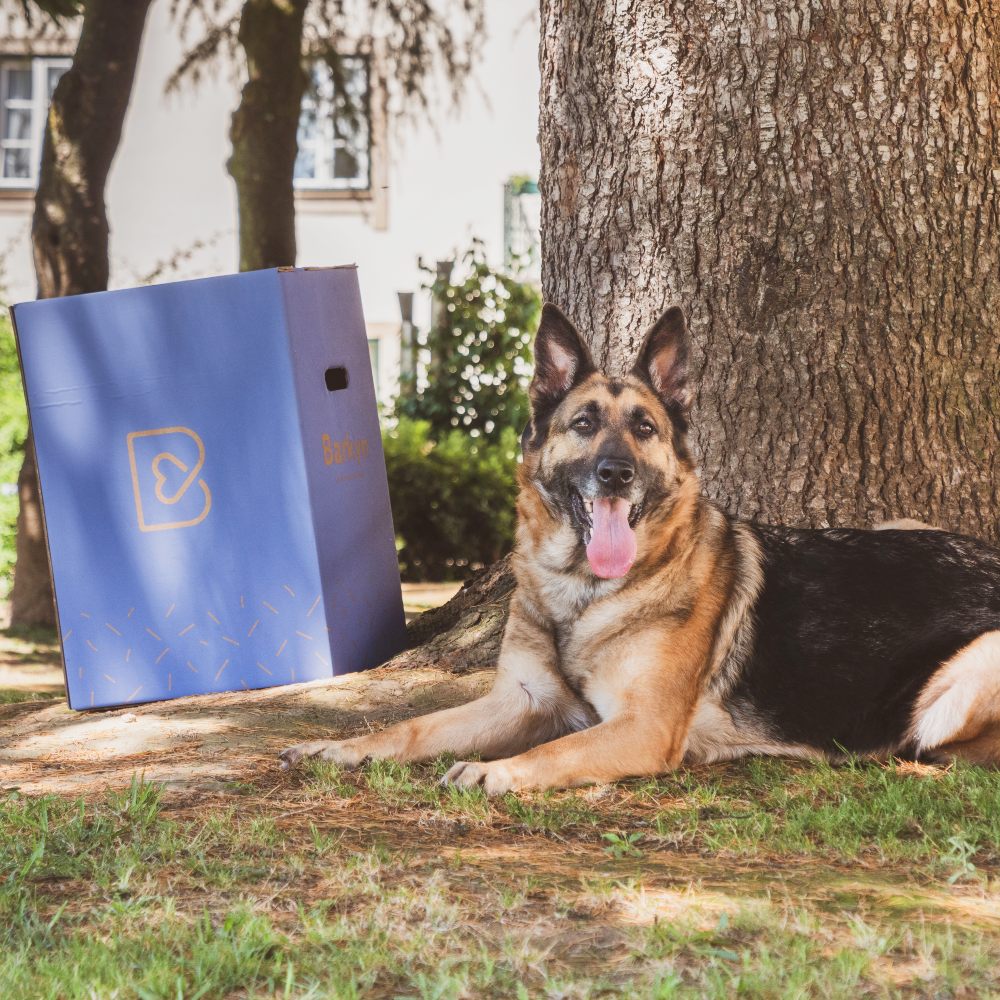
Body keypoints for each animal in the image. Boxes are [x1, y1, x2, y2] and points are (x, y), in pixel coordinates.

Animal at [280, 304, 1000, 788]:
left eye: (645, 428)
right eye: (583, 423)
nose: (616, 474)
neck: (581, 593)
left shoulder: (641, 727)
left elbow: (556, 751)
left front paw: (498, 771)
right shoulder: (520, 701)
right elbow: (415, 726)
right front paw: (341, 746)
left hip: (952, 686)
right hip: (902, 525)